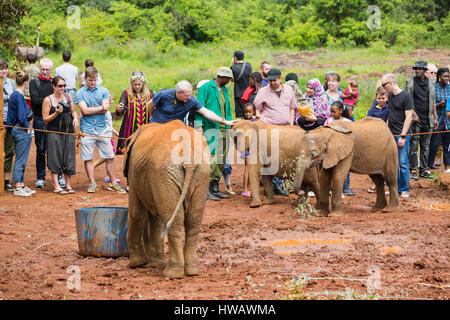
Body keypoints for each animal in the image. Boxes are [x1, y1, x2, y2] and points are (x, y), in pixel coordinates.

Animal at [124, 120, 210, 278]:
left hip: (167, 172)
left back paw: (172, 274)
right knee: (193, 220)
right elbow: (156, 217)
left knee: (173, 220)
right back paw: (191, 271)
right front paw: (154, 264)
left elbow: (136, 212)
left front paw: (136, 264)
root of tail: (189, 160)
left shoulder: (134, 173)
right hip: (201, 173)